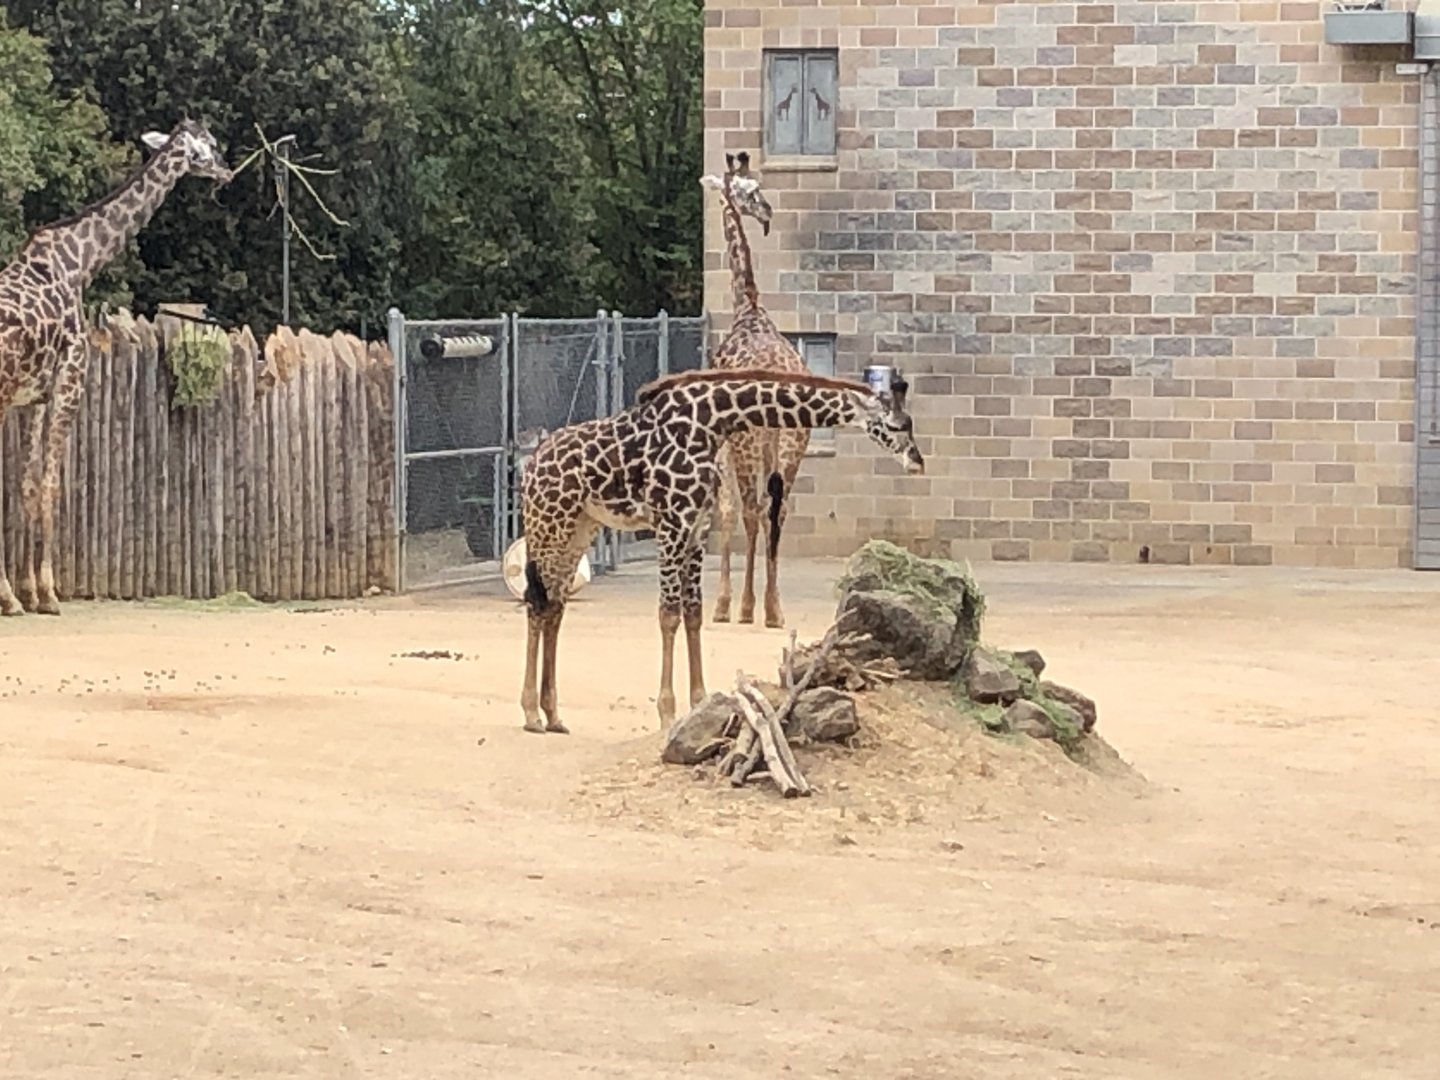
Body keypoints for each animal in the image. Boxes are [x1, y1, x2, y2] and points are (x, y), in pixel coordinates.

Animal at [0, 118, 233, 616]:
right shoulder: (69, 383)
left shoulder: (34, 397)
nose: (226, 171)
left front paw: (26, 592)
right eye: (210, 145)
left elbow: (26, 487)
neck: (79, 263)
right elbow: (50, 485)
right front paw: (45, 594)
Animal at [517, 366, 925, 734]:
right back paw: (532, 715)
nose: (917, 463)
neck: (712, 423)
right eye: (897, 425)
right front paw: (667, 713)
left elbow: (694, 613)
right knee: (537, 602)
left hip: (579, 527)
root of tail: (531, 464)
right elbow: (669, 615)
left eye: (909, 422)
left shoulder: (697, 528)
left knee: (555, 604)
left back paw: (553, 715)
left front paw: (699, 702)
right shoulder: (671, 524)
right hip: (548, 522)